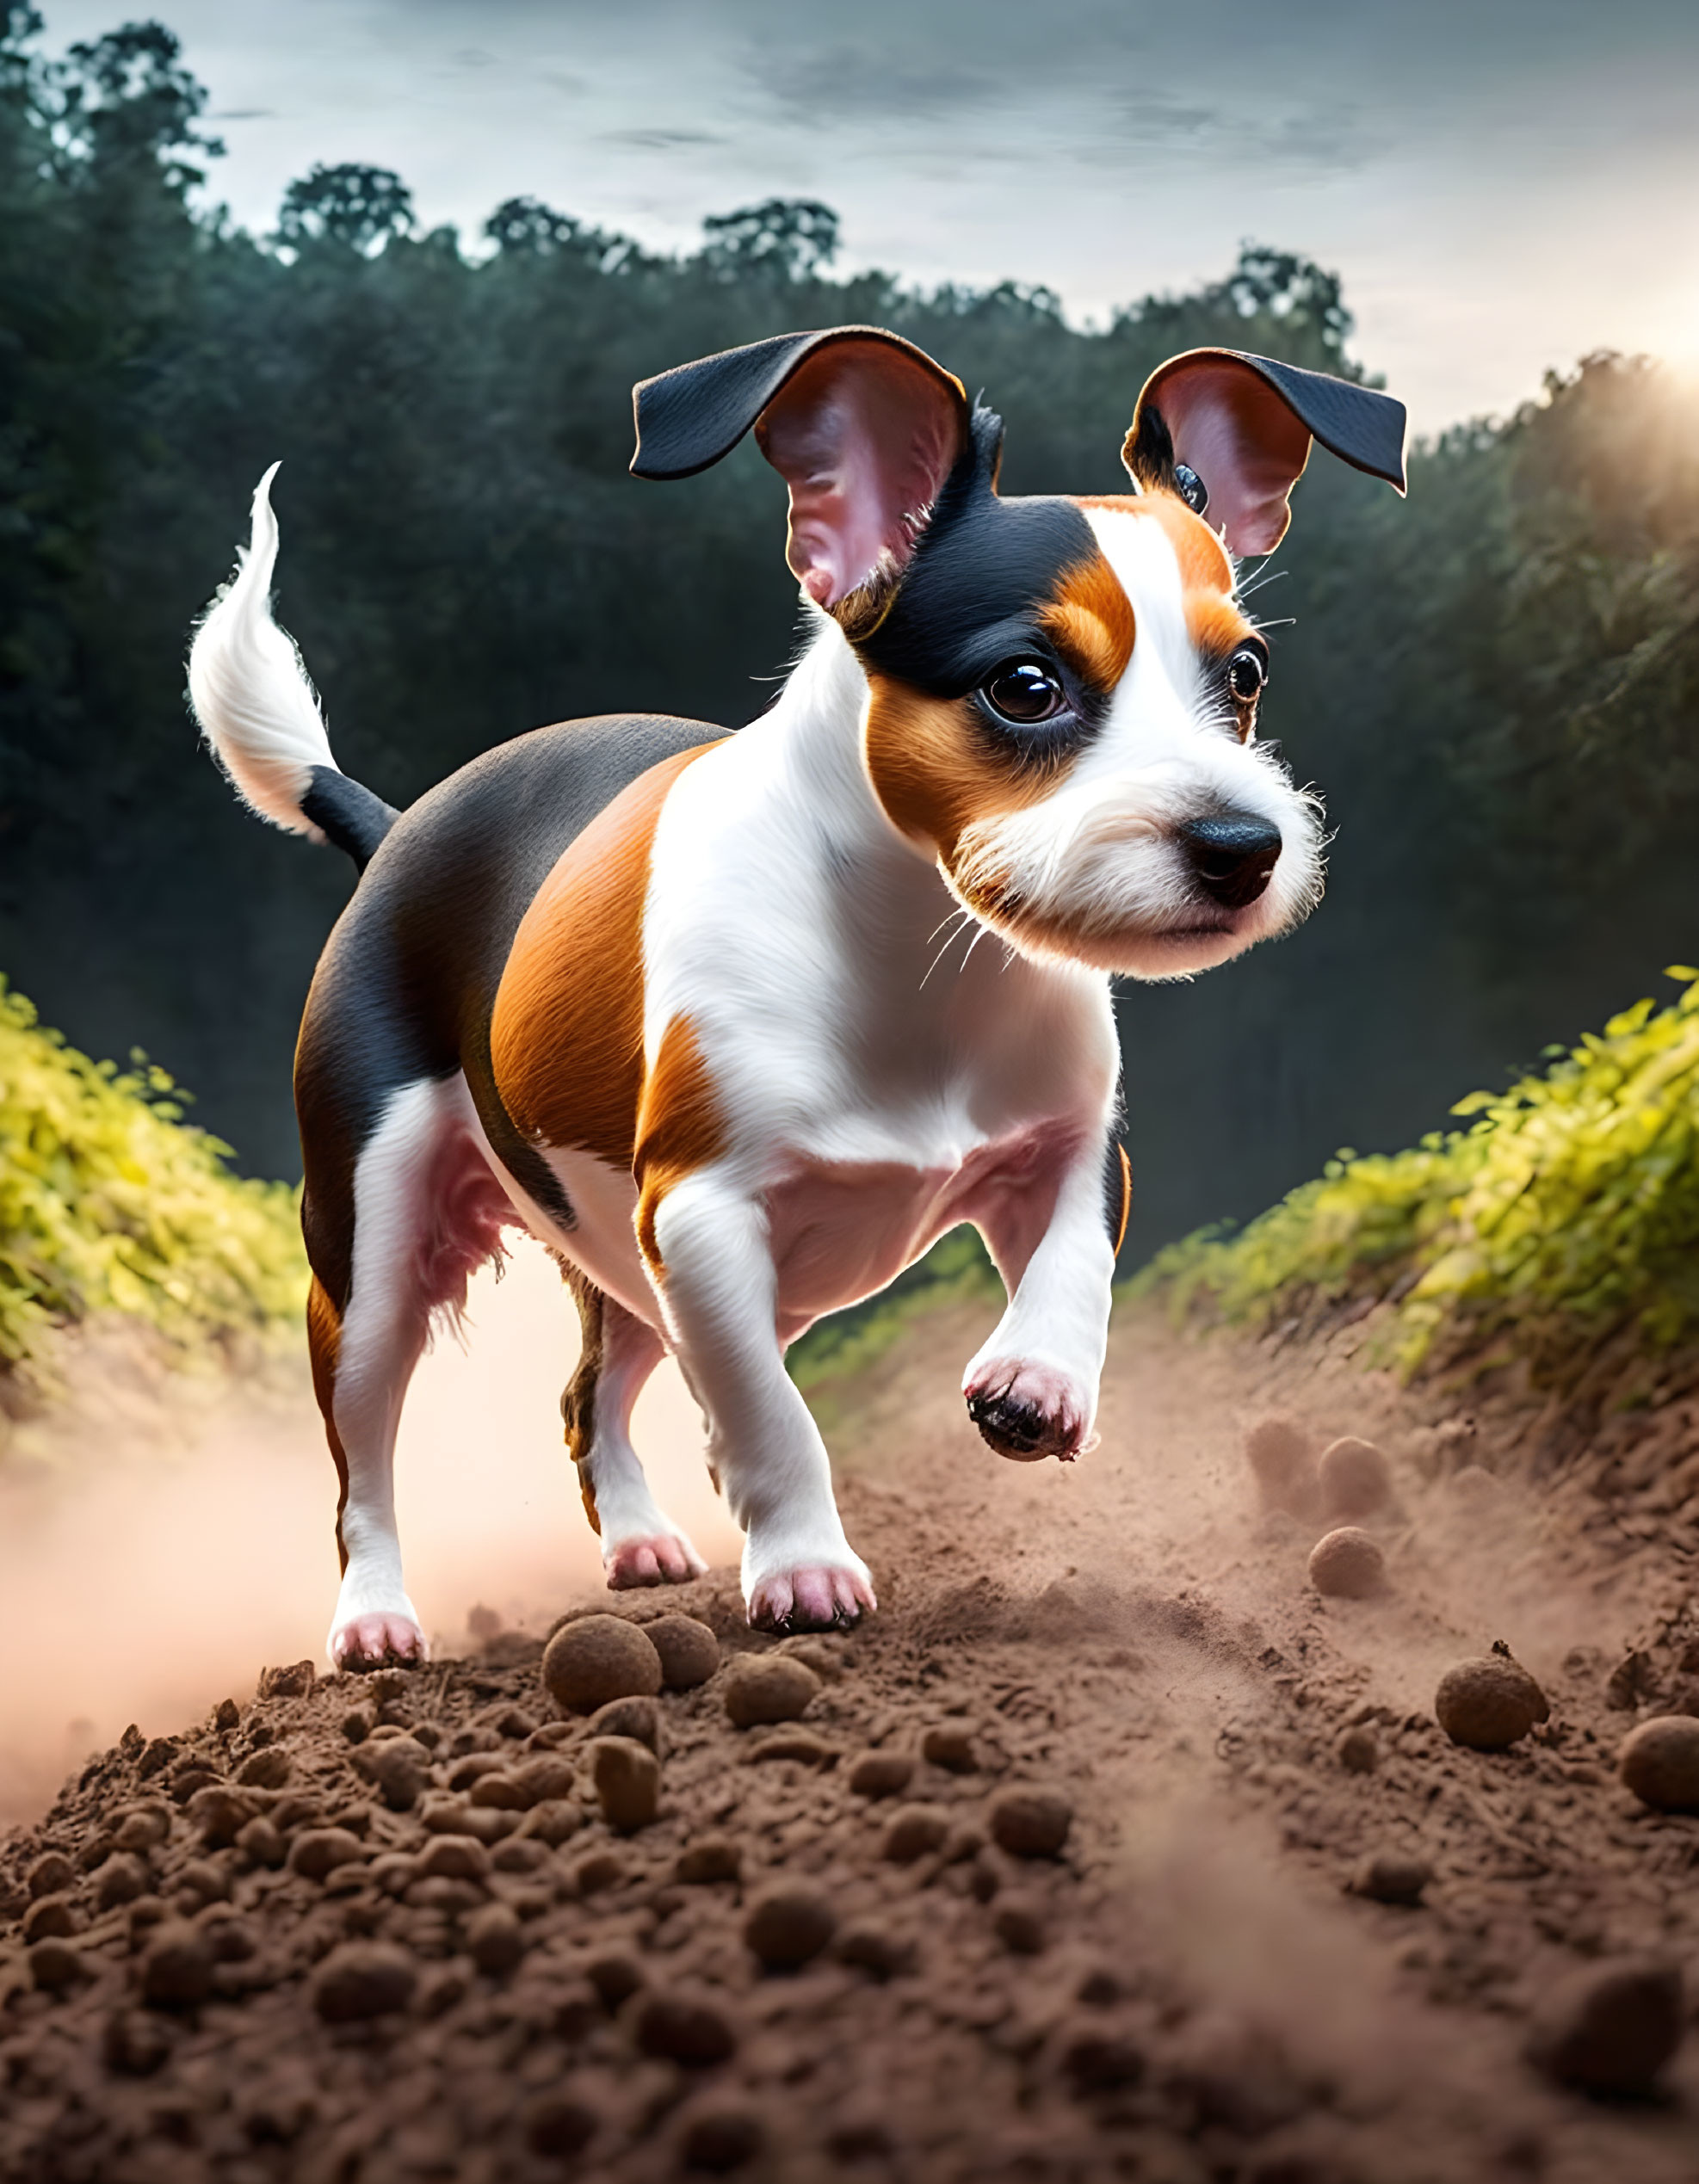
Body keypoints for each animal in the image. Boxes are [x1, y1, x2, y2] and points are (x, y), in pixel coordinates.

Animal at [188, 323, 1406, 1659]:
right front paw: (805, 1566)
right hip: (371, 1250)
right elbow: (779, 1419)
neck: (923, 959)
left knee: (590, 1389)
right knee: (365, 1458)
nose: (1244, 845)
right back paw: (375, 1618)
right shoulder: (702, 1214)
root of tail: (397, 825)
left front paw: (1034, 1379)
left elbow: (1071, 1265)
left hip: (618, 1250)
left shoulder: (1077, 1153)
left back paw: (639, 1536)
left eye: (1242, 673)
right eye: (1025, 686)